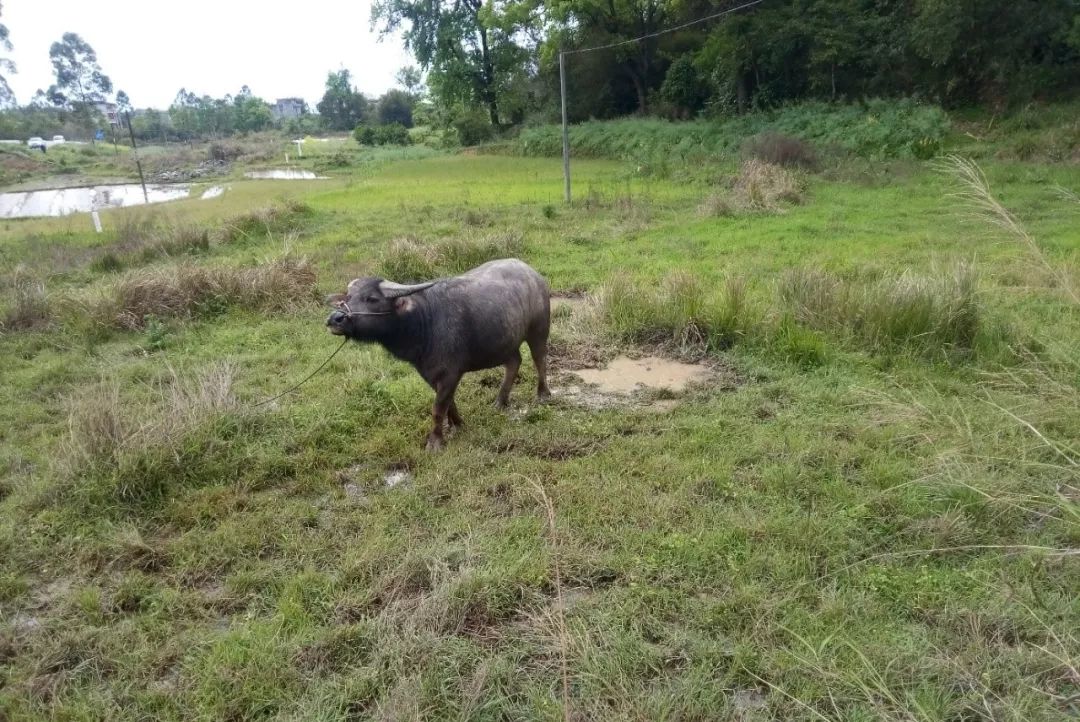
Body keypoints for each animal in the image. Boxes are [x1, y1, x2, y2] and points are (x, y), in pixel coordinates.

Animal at [326, 259, 548, 446]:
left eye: (372, 298)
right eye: (348, 297)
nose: (335, 318)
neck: (424, 322)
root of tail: (532, 273)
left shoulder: (450, 373)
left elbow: (438, 408)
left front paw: (435, 441)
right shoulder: (429, 373)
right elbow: (449, 403)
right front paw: (457, 424)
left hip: (538, 331)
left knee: (539, 360)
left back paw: (543, 394)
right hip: (504, 341)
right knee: (514, 361)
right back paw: (500, 401)